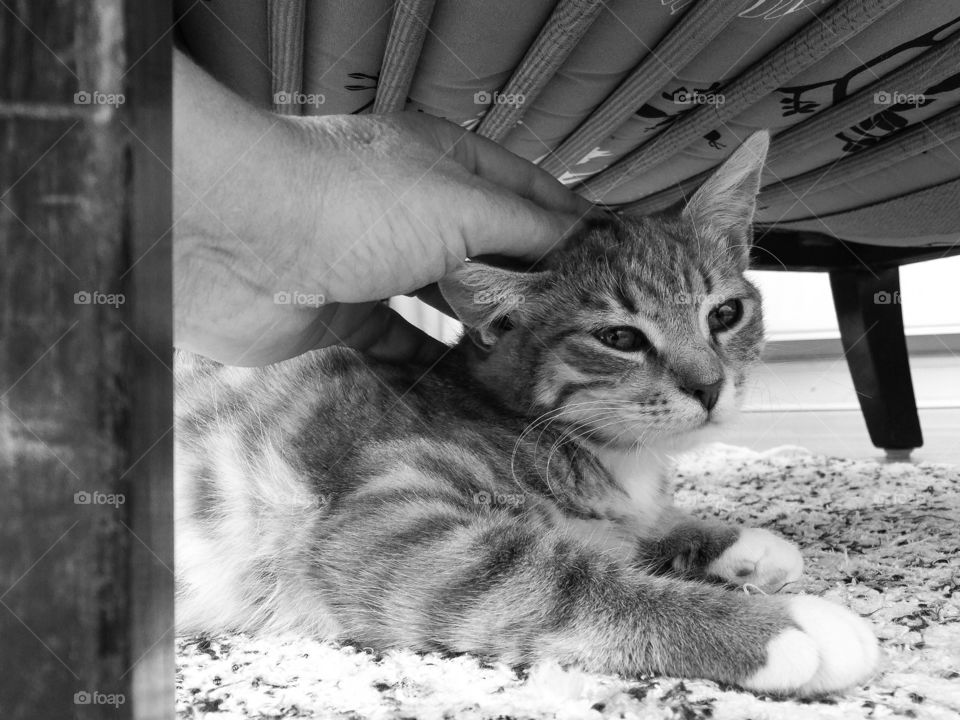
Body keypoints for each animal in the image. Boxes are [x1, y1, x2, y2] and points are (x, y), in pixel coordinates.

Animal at [176, 132, 880, 696]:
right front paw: (783, 627)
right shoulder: (387, 522)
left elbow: (628, 526)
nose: (708, 387)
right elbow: (558, 578)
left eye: (726, 314)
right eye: (619, 339)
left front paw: (730, 542)